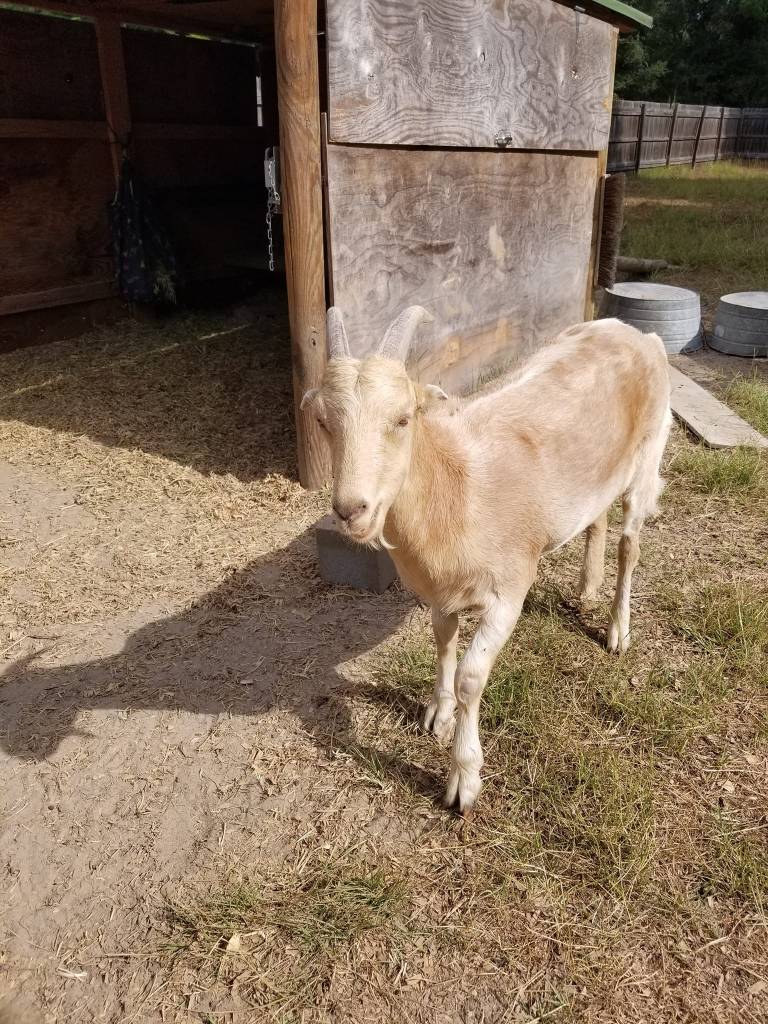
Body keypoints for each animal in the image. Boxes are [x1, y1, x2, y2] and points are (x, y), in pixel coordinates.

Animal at [302, 306, 672, 813]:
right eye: (323, 421)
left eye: (403, 419)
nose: (350, 510)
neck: (458, 487)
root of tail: (636, 333)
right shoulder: (439, 592)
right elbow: (442, 643)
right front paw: (437, 714)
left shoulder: (508, 592)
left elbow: (471, 678)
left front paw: (464, 780)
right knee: (596, 518)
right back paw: (587, 589)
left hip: (647, 456)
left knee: (630, 544)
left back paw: (618, 631)